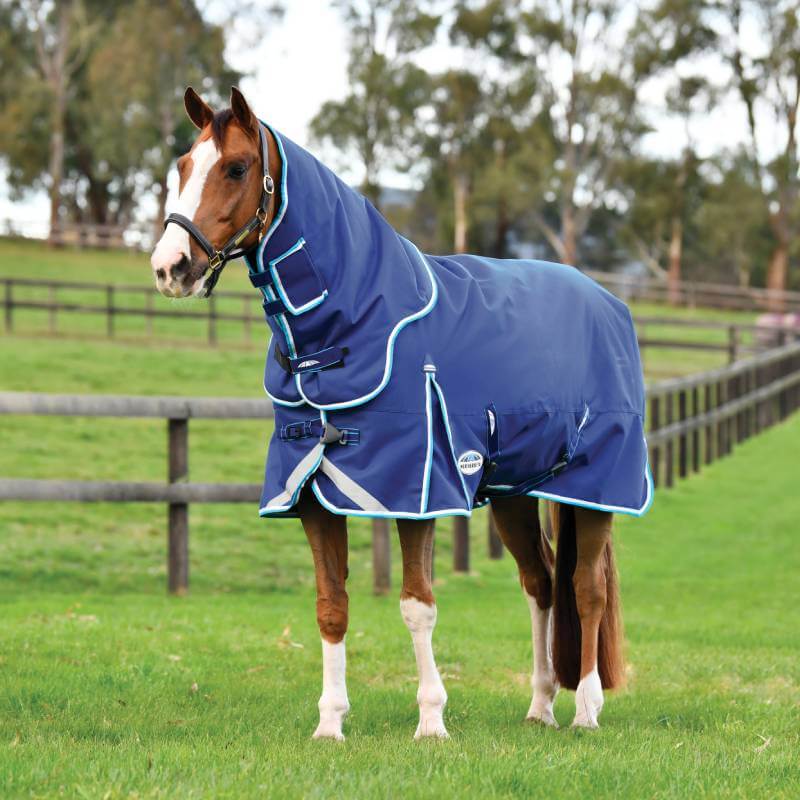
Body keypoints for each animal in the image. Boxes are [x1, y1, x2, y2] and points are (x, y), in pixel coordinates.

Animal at [150, 87, 651, 739]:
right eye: (184, 165)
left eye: (236, 168)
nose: (170, 267)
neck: (356, 327)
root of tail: (608, 301)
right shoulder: (312, 493)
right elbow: (331, 606)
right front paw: (330, 723)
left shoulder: (418, 491)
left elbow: (418, 606)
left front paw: (432, 721)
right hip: (514, 491)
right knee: (541, 583)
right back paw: (540, 705)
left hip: (595, 489)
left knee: (585, 587)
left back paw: (586, 709)